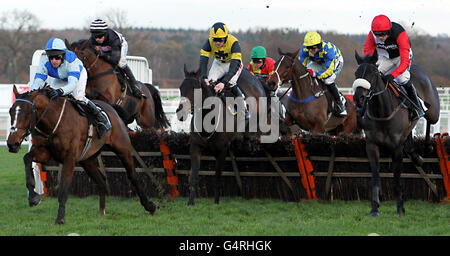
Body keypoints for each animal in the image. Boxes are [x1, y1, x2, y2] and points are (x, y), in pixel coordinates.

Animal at [6, 85, 158, 223]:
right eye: (11, 111)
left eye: (27, 113)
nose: (12, 143)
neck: (53, 122)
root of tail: (111, 107)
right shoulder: (45, 153)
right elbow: (27, 159)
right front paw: (33, 197)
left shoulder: (69, 158)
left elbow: (63, 188)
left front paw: (60, 218)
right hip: (87, 160)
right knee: (101, 181)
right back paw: (102, 212)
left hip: (123, 149)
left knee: (132, 176)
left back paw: (149, 206)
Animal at [352, 52, 440, 216]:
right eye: (356, 73)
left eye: (373, 73)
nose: (358, 98)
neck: (382, 112)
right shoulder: (371, 145)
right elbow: (375, 177)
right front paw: (374, 208)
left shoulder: (396, 147)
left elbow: (397, 179)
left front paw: (400, 208)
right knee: (410, 138)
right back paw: (416, 155)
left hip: (433, 112)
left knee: (430, 120)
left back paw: (427, 146)